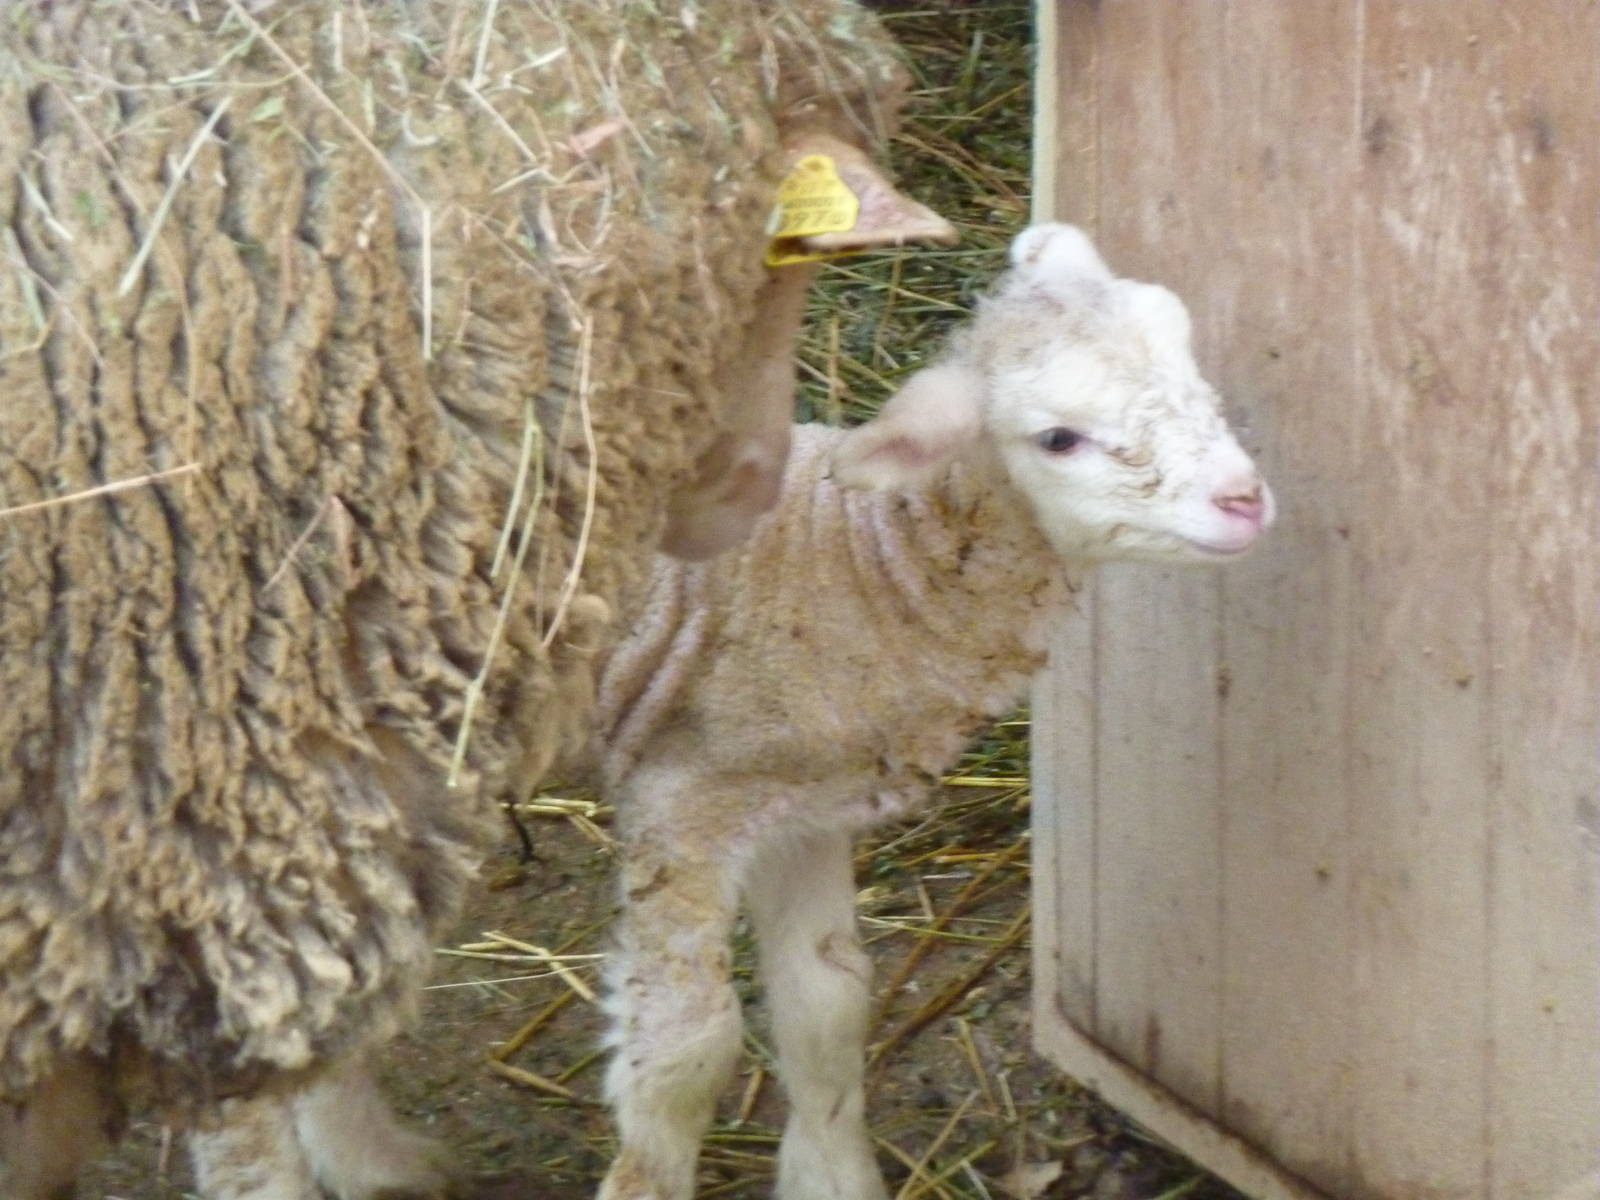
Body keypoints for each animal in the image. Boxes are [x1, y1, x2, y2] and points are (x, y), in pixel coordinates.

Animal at [588, 223, 1274, 1200]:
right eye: (1058, 438)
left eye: (1185, 356)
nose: (1243, 499)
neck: (832, 556)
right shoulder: (682, 798)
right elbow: (682, 1058)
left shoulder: (797, 799)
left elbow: (827, 1003)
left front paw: (833, 1178)